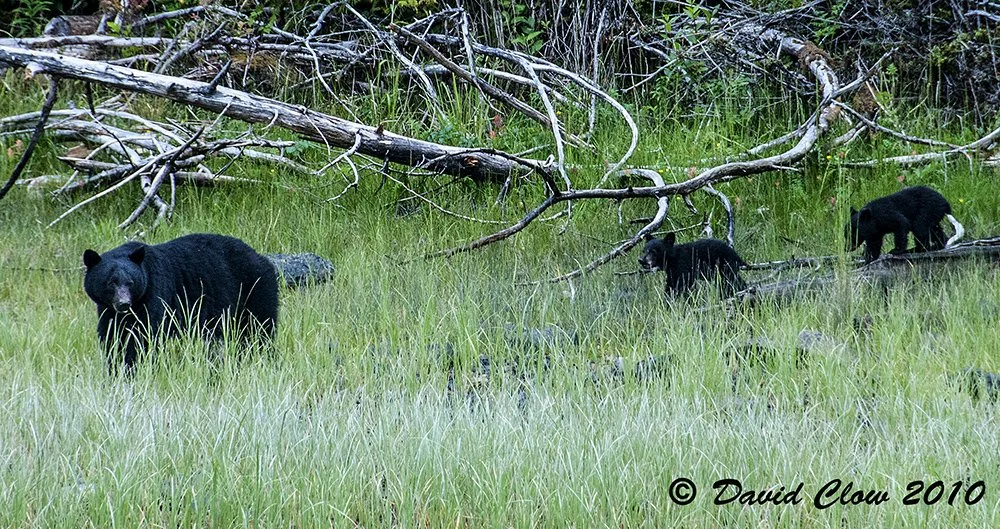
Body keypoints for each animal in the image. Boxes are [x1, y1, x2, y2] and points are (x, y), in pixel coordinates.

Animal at [83, 233, 279, 375]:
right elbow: (111, 337)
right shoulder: (108, 311)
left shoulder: (156, 296)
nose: (124, 303)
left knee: (260, 330)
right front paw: (114, 369)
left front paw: (132, 368)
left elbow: (143, 336)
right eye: (111, 282)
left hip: (255, 290)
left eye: (130, 282)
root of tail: (261, 257)